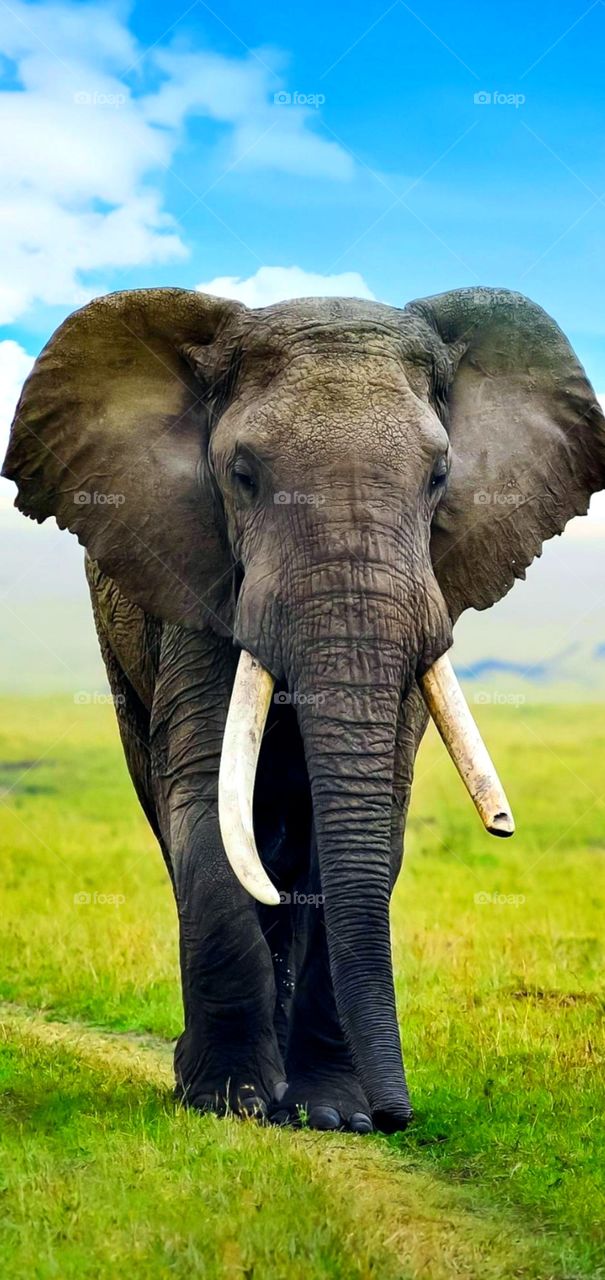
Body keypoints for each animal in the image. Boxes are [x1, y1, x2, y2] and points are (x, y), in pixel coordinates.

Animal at [4, 285, 604, 1135]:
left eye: (438, 477)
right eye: (242, 475)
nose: (398, 1117)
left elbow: (367, 818)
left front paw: (331, 1115)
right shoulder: (199, 580)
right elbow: (205, 800)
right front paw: (228, 1102)